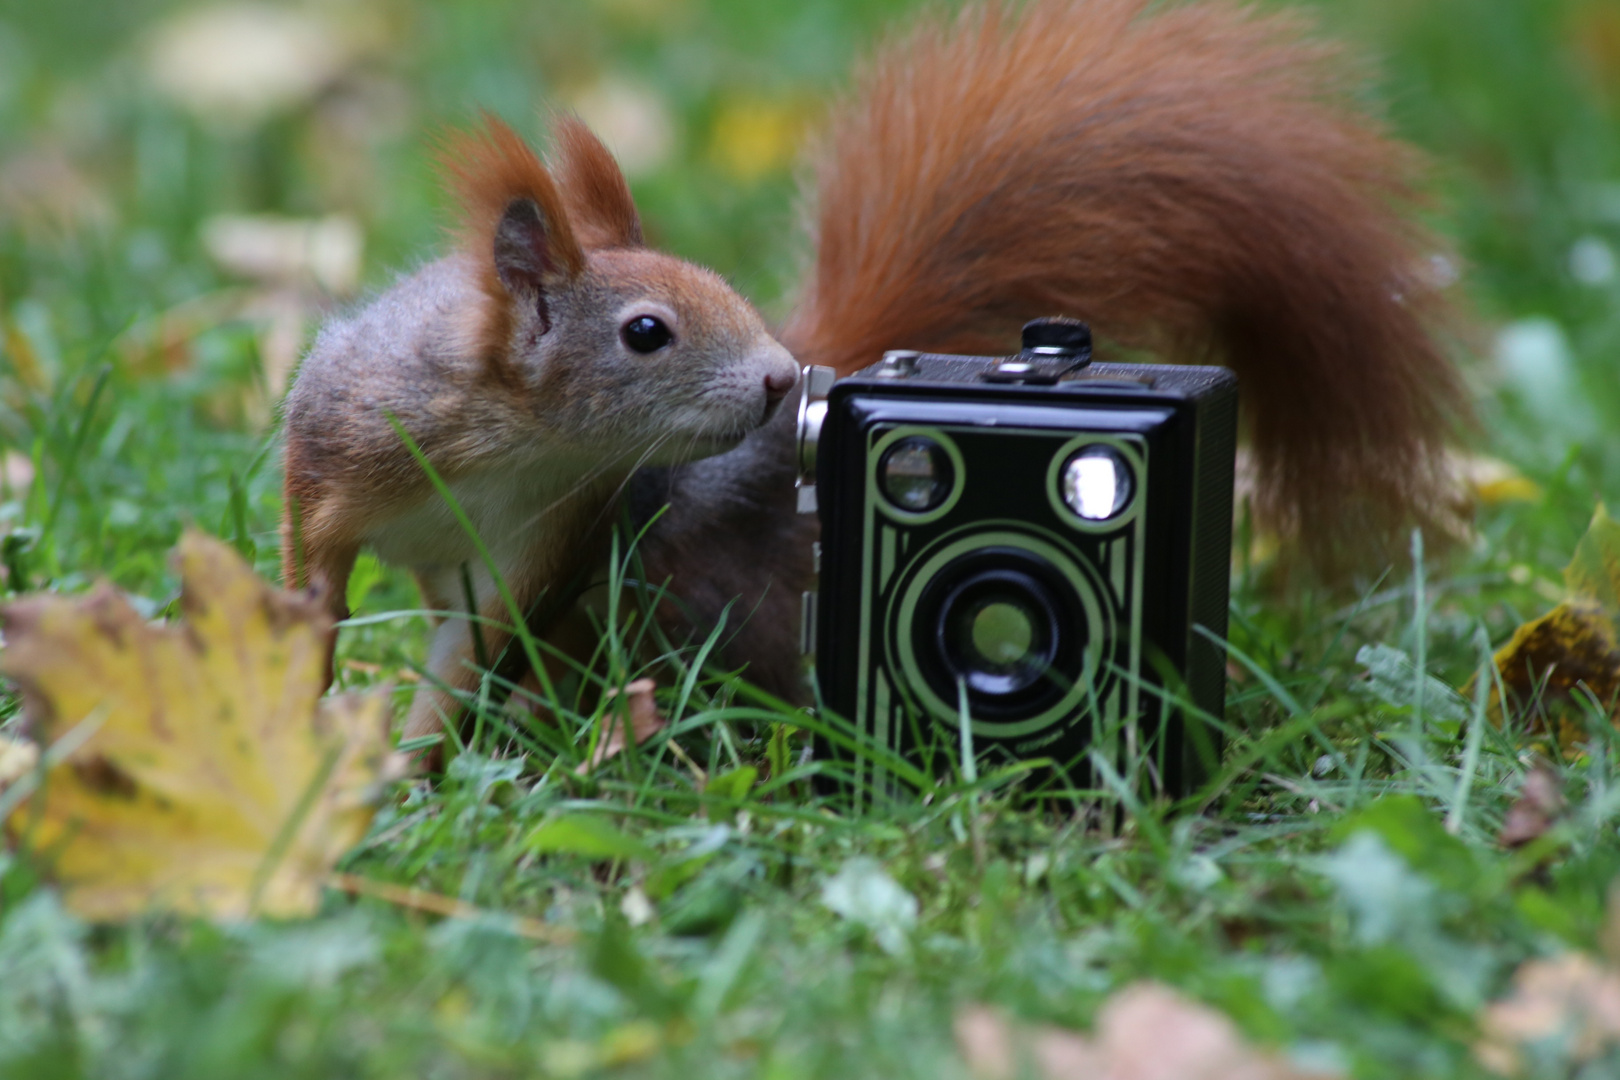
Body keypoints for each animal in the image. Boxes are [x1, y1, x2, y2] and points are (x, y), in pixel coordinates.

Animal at [278, 0, 1470, 735]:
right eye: (646, 332)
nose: (779, 381)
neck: (514, 438)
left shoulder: (555, 533)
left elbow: (479, 650)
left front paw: (404, 769)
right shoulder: (346, 434)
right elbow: (314, 558)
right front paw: (302, 680)